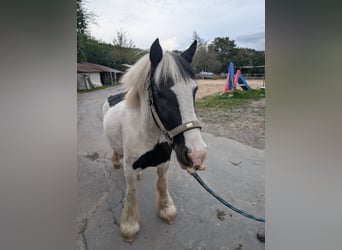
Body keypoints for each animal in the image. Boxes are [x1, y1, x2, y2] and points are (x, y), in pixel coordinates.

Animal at [103, 38, 207, 241]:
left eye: (195, 90)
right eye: (159, 93)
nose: (197, 155)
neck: (147, 135)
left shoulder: (164, 162)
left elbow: (162, 184)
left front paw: (167, 211)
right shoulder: (129, 168)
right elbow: (131, 193)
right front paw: (129, 225)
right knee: (115, 150)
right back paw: (116, 161)